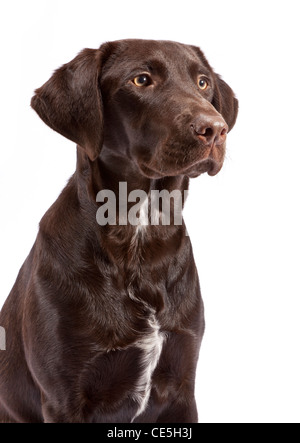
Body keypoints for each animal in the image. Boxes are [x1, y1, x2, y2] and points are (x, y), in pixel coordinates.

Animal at [0, 39, 238, 424]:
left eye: (202, 83)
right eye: (141, 80)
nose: (214, 129)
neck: (139, 239)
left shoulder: (182, 387)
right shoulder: (65, 398)